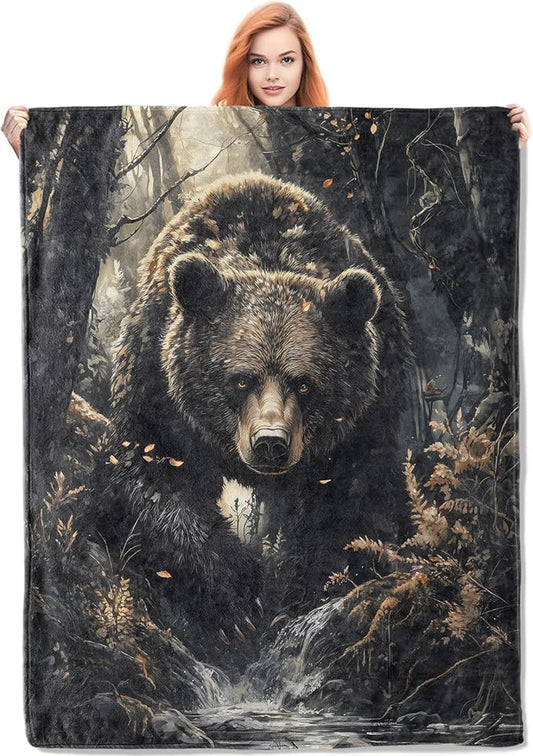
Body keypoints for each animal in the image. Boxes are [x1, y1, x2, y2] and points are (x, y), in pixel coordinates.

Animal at [103, 171, 411, 656]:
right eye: (241, 379)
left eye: (304, 383)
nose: (270, 443)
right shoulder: (159, 384)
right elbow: (153, 479)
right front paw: (237, 602)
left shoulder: (366, 411)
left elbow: (346, 500)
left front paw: (303, 593)